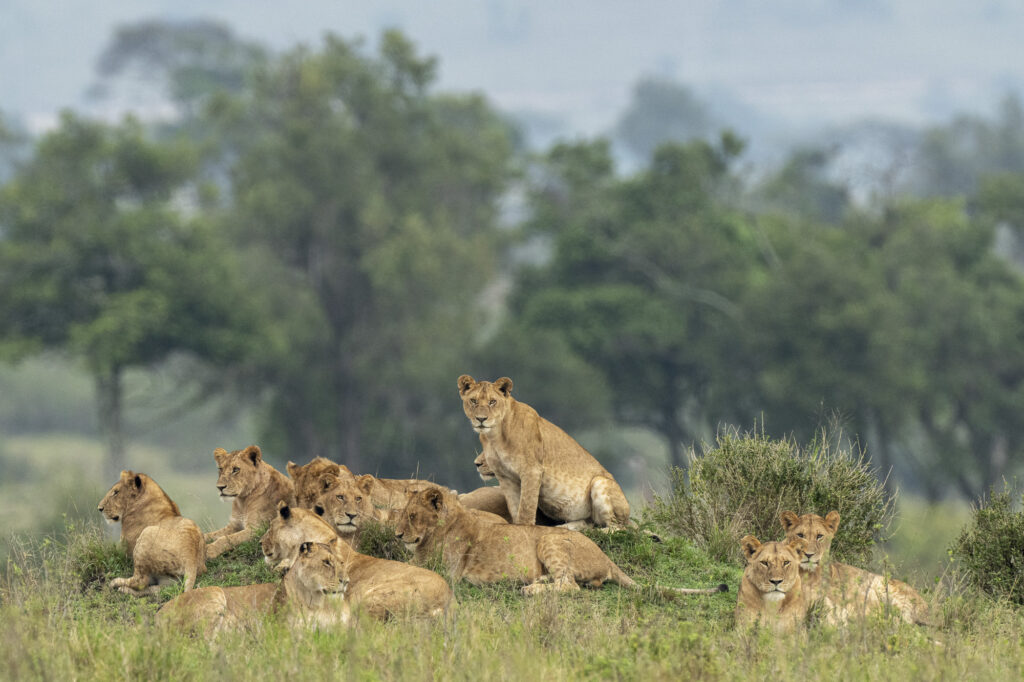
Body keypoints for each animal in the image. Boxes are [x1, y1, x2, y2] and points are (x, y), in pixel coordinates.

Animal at [157, 541, 350, 633]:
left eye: (341, 562)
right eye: (326, 562)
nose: (346, 581)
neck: (321, 601)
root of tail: (159, 612)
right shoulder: (285, 631)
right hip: (215, 592)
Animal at [395, 487, 726, 598]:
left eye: (412, 515)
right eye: (400, 513)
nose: (397, 535)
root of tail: (607, 558)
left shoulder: (448, 571)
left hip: (550, 539)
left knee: (570, 585)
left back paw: (530, 590)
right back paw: (537, 582)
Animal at [457, 375, 631, 530]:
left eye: (492, 401)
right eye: (473, 401)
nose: (481, 419)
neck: (494, 436)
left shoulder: (531, 471)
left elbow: (526, 507)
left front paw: (526, 530)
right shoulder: (506, 478)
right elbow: (515, 508)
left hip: (600, 482)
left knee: (617, 528)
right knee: (589, 523)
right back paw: (566, 527)